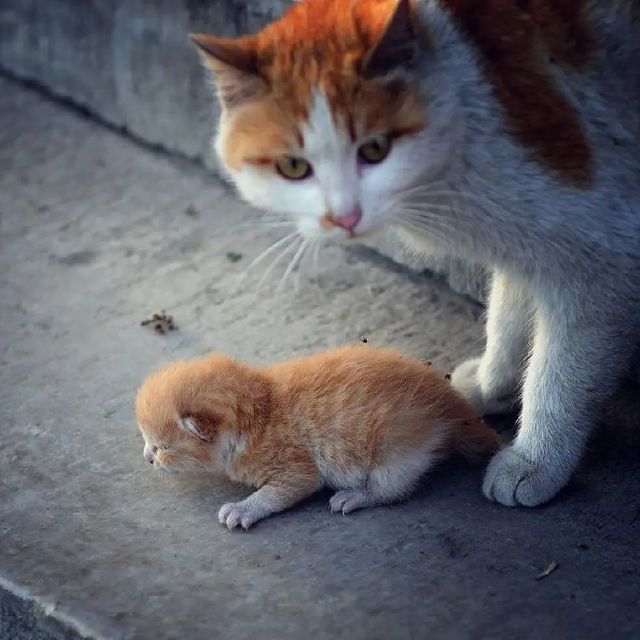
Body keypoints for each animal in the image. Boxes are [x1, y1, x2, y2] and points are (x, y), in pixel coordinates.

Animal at [135, 344, 500, 528]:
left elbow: (279, 492)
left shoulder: (295, 467)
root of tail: (454, 407)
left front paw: (244, 508)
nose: (147, 458)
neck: (259, 411)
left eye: (162, 447)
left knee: (392, 489)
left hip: (399, 451)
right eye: (149, 443)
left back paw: (355, 496)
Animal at [190, 2, 640, 508]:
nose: (344, 217)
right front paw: (494, 385)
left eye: (375, 149)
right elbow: (509, 314)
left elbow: (563, 370)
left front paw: (536, 460)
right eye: (293, 166)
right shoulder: (523, 240)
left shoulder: (603, 250)